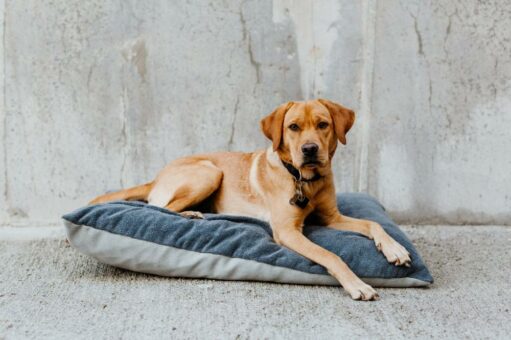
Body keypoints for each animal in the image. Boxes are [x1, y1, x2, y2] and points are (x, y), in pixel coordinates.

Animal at [91, 98, 412, 300]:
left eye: (323, 124)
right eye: (293, 127)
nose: (309, 150)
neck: (304, 181)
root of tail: (156, 177)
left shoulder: (332, 217)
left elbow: (372, 223)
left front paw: (395, 249)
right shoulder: (286, 231)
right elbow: (330, 254)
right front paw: (358, 284)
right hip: (209, 172)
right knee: (161, 207)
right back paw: (192, 214)